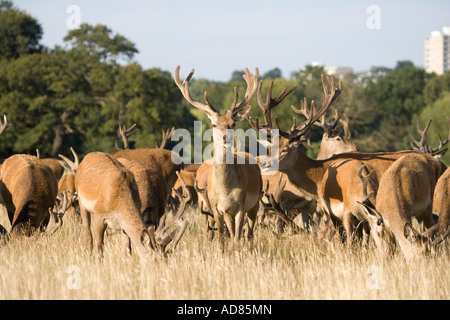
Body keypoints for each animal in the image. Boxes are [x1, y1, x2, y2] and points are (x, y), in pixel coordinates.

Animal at [174, 66, 262, 249]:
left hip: (255, 202)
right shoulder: (216, 208)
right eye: (214, 124)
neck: (225, 190)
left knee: (249, 233)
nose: (225, 137)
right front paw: (222, 252)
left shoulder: (241, 205)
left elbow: (237, 238)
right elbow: (221, 237)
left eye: (233, 124)